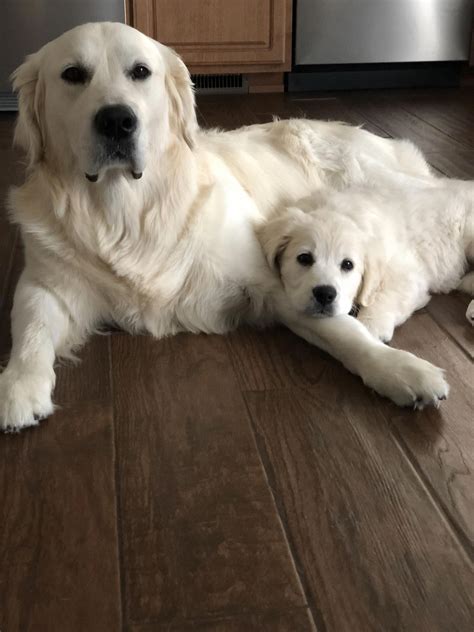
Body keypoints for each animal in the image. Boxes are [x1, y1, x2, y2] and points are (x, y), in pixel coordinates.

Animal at [260, 183, 474, 348]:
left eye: (348, 265)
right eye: (304, 258)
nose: (325, 294)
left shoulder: (407, 272)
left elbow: (385, 296)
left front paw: (370, 332)